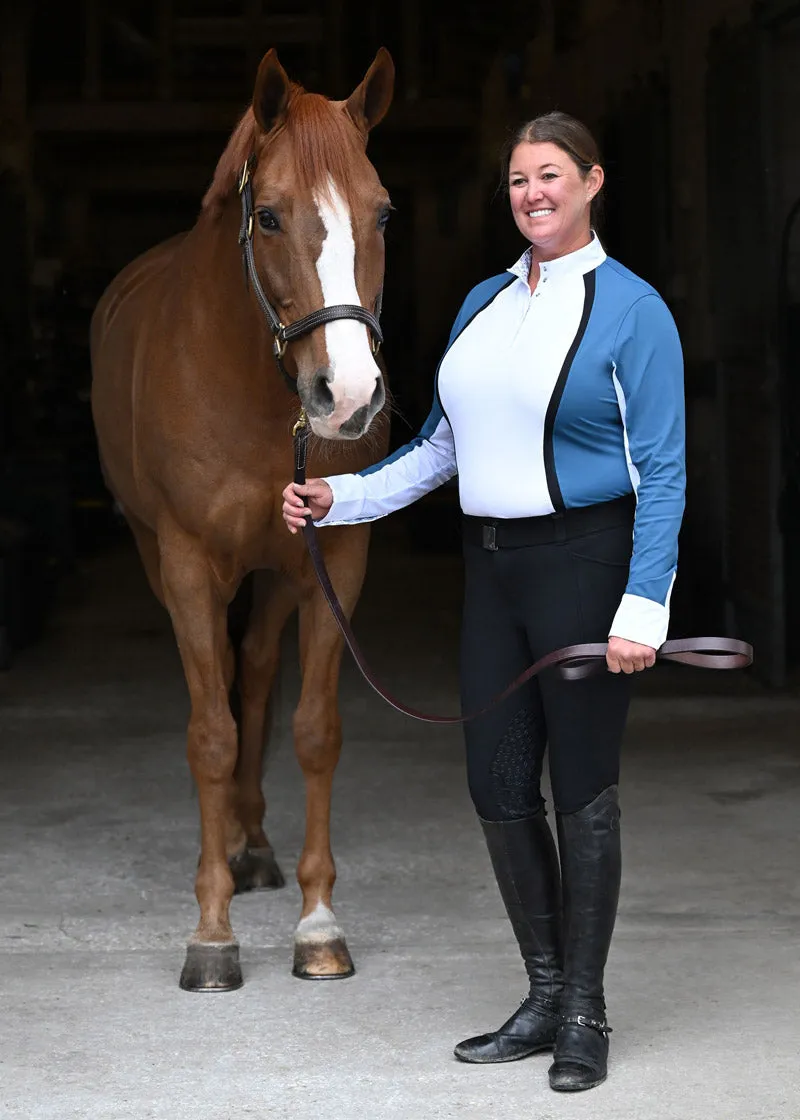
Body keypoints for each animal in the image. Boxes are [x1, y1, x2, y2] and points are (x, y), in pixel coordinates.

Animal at [89, 45, 394, 990]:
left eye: (382, 212)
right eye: (267, 216)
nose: (349, 397)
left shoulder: (340, 557)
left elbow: (314, 729)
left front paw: (319, 926)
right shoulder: (188, 564)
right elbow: (210, 736)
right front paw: (213, 933)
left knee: (255, 670)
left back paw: (253, 843)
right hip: (165, 559)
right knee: (224, 680)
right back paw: (226, 847)